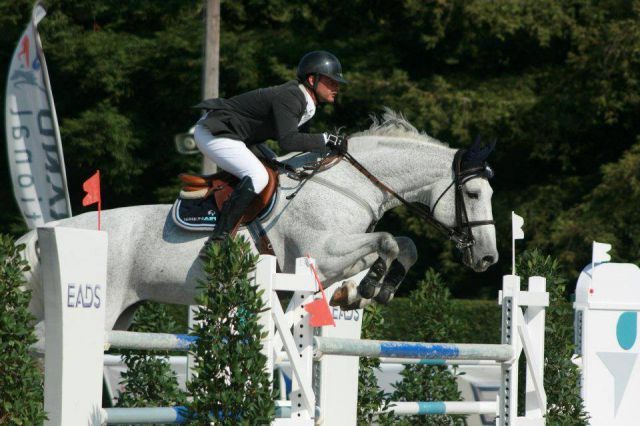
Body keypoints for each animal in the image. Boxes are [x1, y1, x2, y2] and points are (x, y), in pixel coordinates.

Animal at [19, 110, 498, 349]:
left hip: (122, 312)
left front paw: (366, 291)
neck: (348, 183)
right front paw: (372, 285)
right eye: (474, 193)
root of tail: (47, 233)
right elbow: (388, 242)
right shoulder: (321, 253)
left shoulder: (334, 257)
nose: (488, 258)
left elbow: (404, 244)